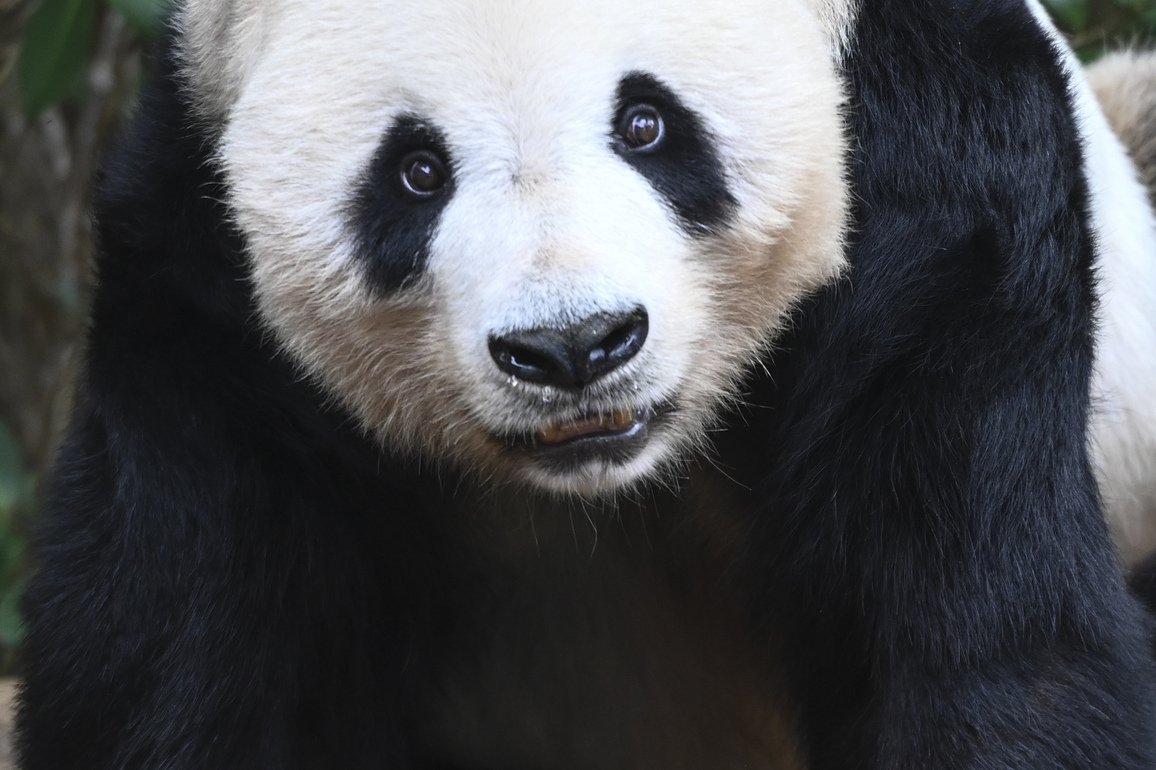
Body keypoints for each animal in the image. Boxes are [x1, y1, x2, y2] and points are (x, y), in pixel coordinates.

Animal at [14, 0, 1156, 768]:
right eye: (416, 170)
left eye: (645, 122)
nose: (573, 347)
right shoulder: (204, 320)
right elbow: (173, 671)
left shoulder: (943, 196)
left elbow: (983, 637)